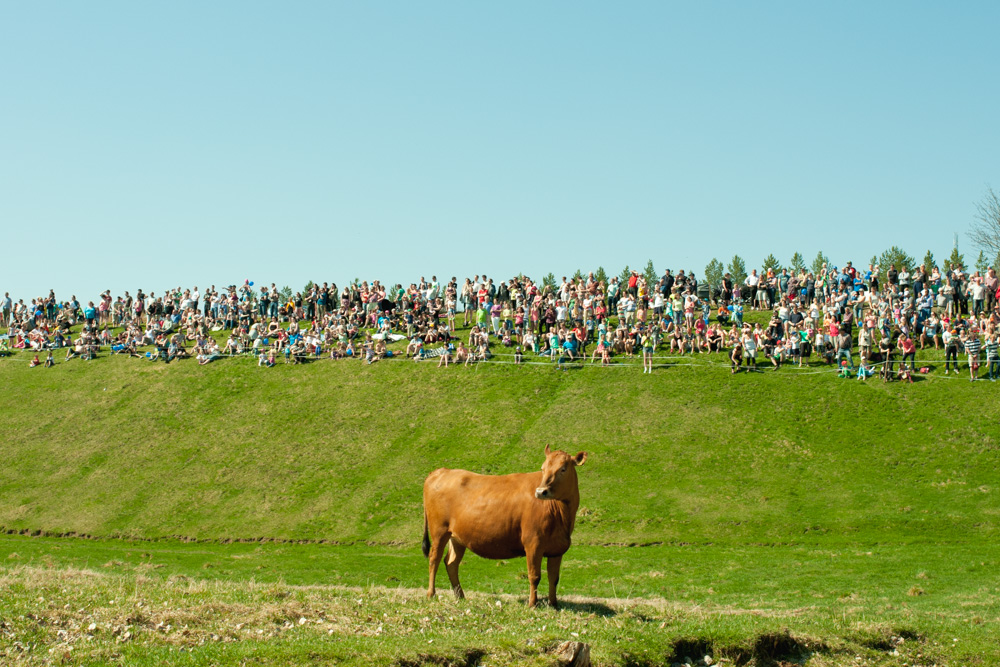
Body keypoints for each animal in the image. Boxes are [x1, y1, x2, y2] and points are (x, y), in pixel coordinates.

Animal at [420, 446, 584, 608]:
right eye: (542, 468)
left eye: (563, 469)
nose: (540, 492)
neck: (563, 516)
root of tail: (441, 471)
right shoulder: (533, 543)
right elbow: (534, 576)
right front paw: (532, 604)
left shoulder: (557, 549)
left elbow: (554, 578)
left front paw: (554, 604)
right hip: (439, 531)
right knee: (434, 559)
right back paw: (431, 594)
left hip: (457, 537)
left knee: (451, 563)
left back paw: (460, 596)